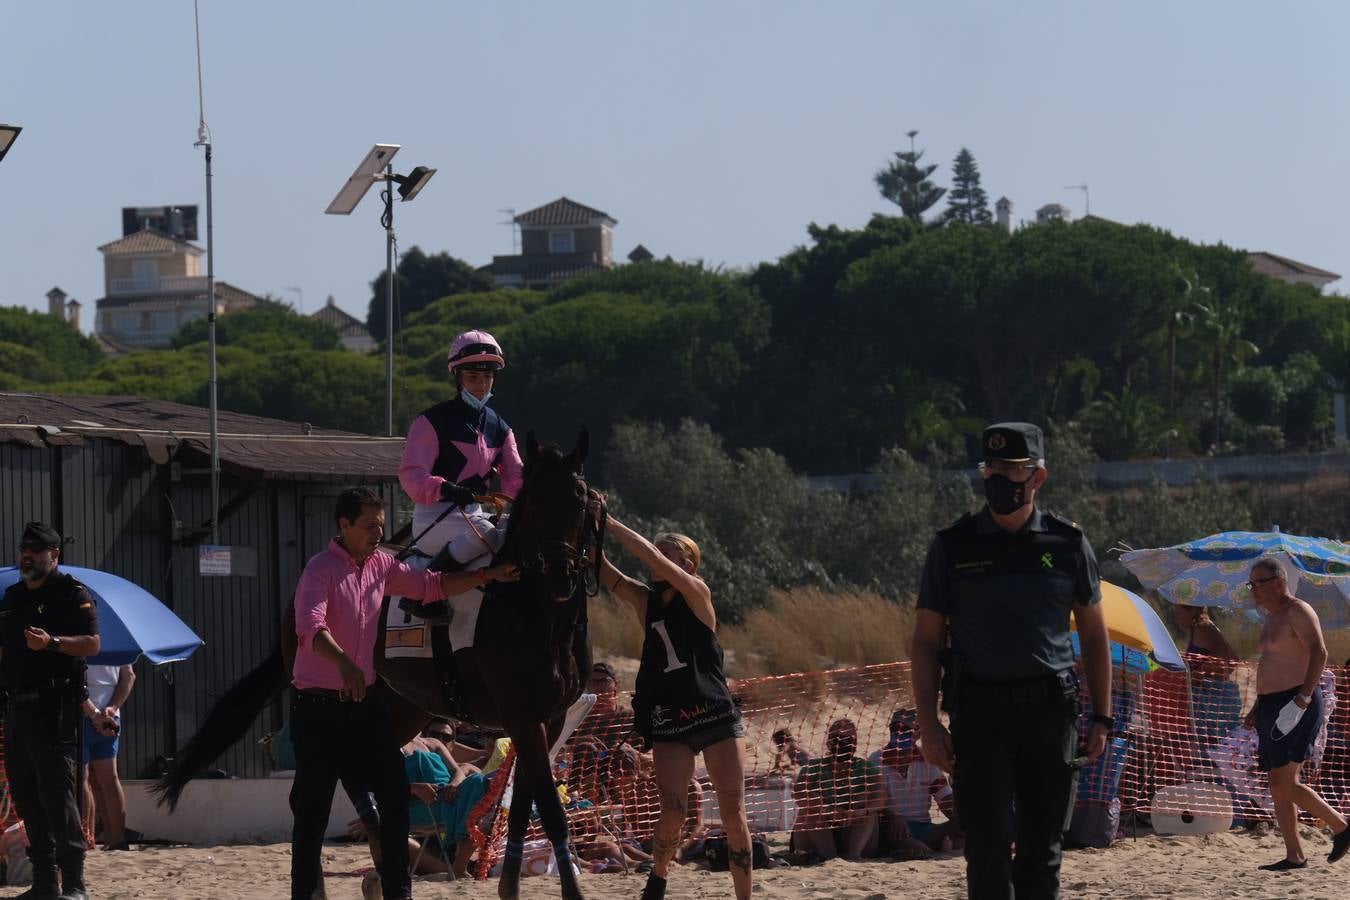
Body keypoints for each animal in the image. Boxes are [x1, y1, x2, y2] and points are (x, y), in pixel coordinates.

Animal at [153, 429, 602, 900]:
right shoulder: (521, 717)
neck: (537, 615)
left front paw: (511, 887)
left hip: (397, 708)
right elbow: (549, 808)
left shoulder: (549, 718)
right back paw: (348, 876)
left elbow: (521, 808)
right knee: (315, 793)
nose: (560, 575)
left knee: (355, 779)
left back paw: (381, 868)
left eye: (580, 501)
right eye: (536, 504)